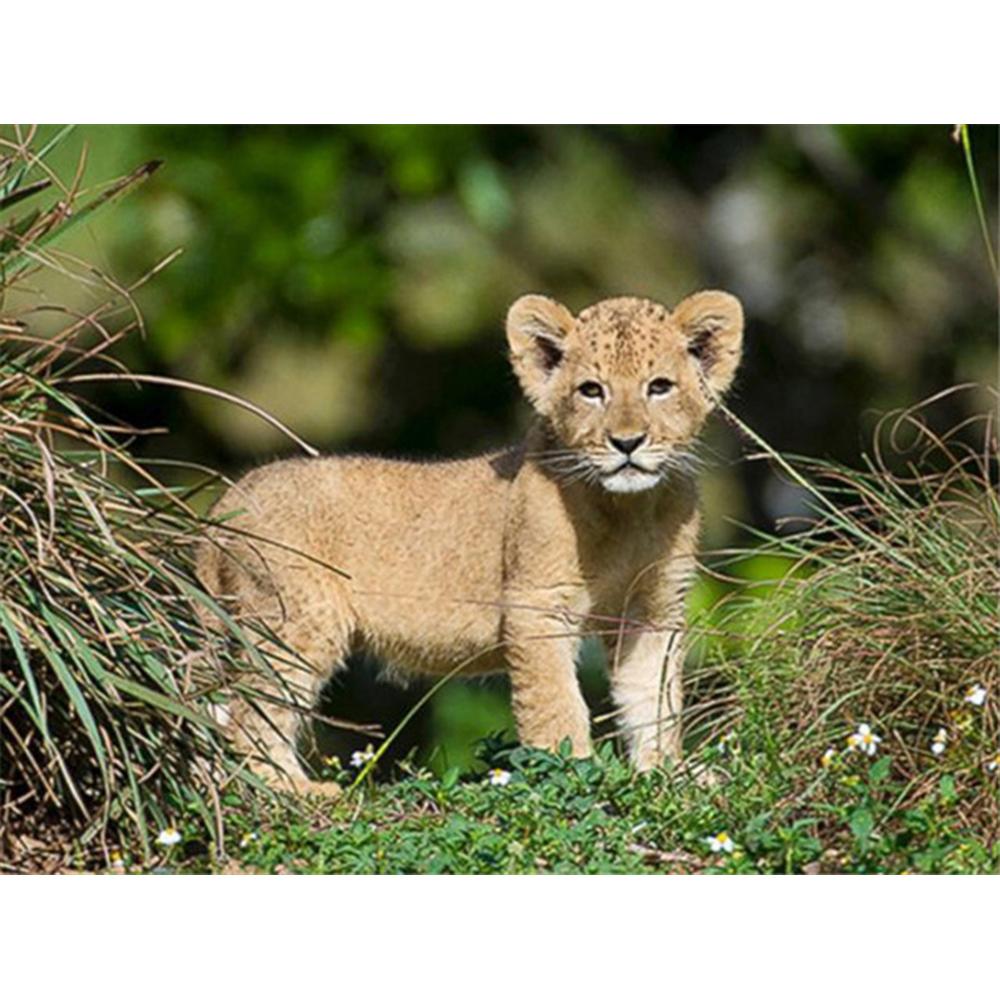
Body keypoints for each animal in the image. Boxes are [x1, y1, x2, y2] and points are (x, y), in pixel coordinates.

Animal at [197, 290, 744, 794]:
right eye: (592, 390)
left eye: (660, 387)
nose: (627, 443)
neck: (628, 510)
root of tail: (224, 502)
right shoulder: (535, 604)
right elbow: (556, 702)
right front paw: (571, 773)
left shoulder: (652, 609)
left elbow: (654, 697)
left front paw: (670, 773)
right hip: (295, 618)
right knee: (249, 713)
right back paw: (294, 790)